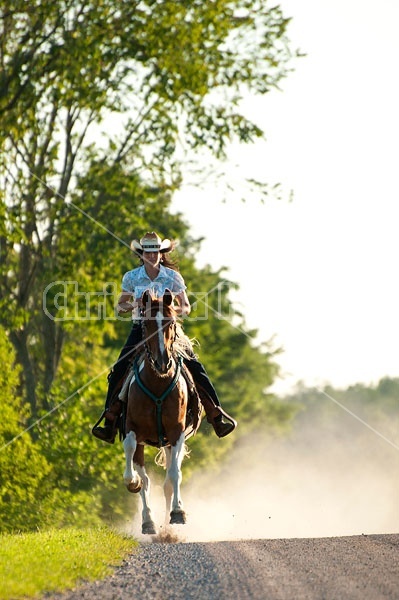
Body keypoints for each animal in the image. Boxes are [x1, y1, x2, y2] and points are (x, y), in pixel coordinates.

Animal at [121, 290, 200, 536]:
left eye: (171, 323)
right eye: (146, 324)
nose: (162, 362)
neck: (157, 382)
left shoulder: (176, 431)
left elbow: (174, 474)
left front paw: (178, 513)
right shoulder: (132, 428)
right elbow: (139, 473)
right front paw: (133, 482)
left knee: (170, 480)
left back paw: (170, 521)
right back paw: (151, 521)